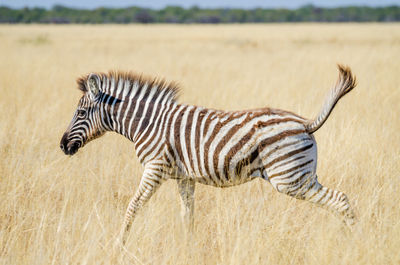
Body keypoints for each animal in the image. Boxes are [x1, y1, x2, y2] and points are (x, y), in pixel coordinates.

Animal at [61, 64, 356, 243]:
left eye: (81, 113)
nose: (62, 146)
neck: (148, 123)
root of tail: (305, 122)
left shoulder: (155, 167)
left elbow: (133, 205)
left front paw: (119, 243)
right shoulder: (184, 176)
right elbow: (187, 214)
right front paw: (188, 246)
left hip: (289, 179)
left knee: (339, 200)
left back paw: (351, 240)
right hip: (299, 175)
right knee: (339, 200)